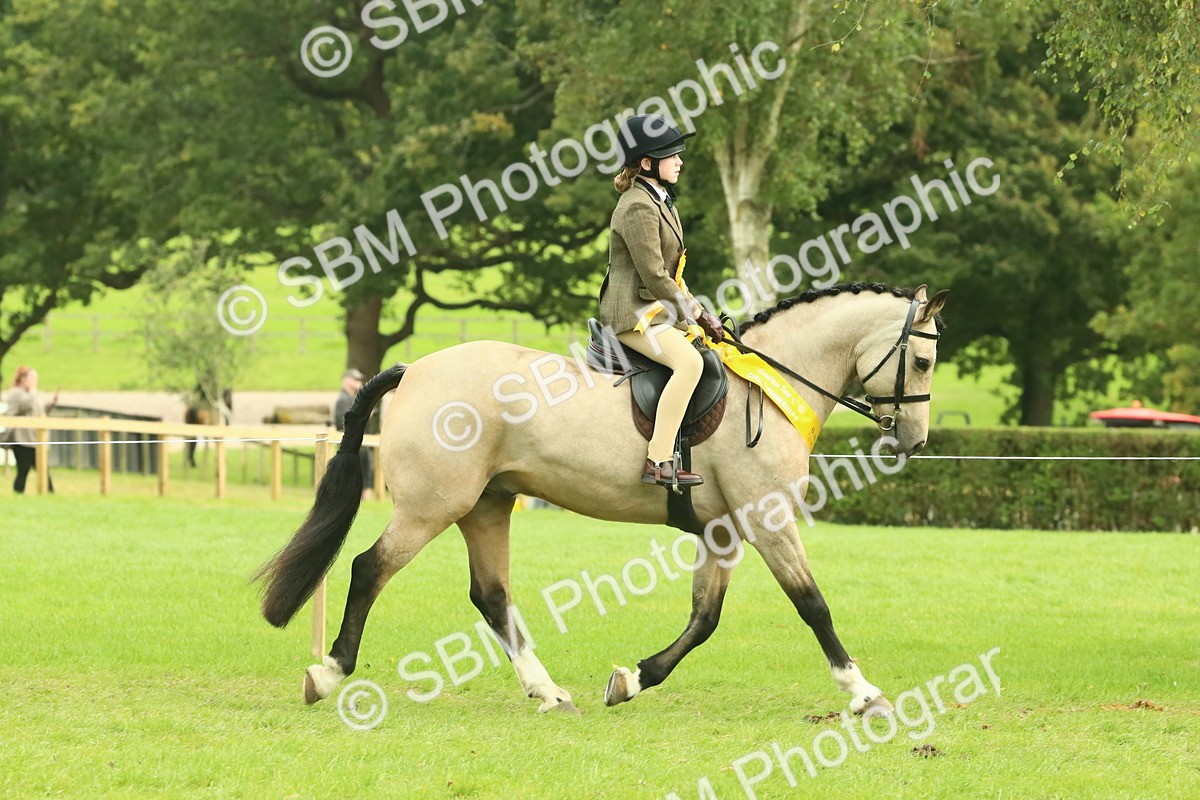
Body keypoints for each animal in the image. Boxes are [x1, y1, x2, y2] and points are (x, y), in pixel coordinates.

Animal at [255, 282, 948, 717]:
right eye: (921, 361)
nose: (913, 441)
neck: (774, 384)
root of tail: (415, 369)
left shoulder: (724, 531)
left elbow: (704, 619)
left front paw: (632, 680)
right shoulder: (767, 519)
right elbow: (813, 605)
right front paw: (863, 692)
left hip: (486, 506)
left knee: (491, 596)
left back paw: (550, 692)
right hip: (432, 507)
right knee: (368, 568)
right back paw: (328, 672)